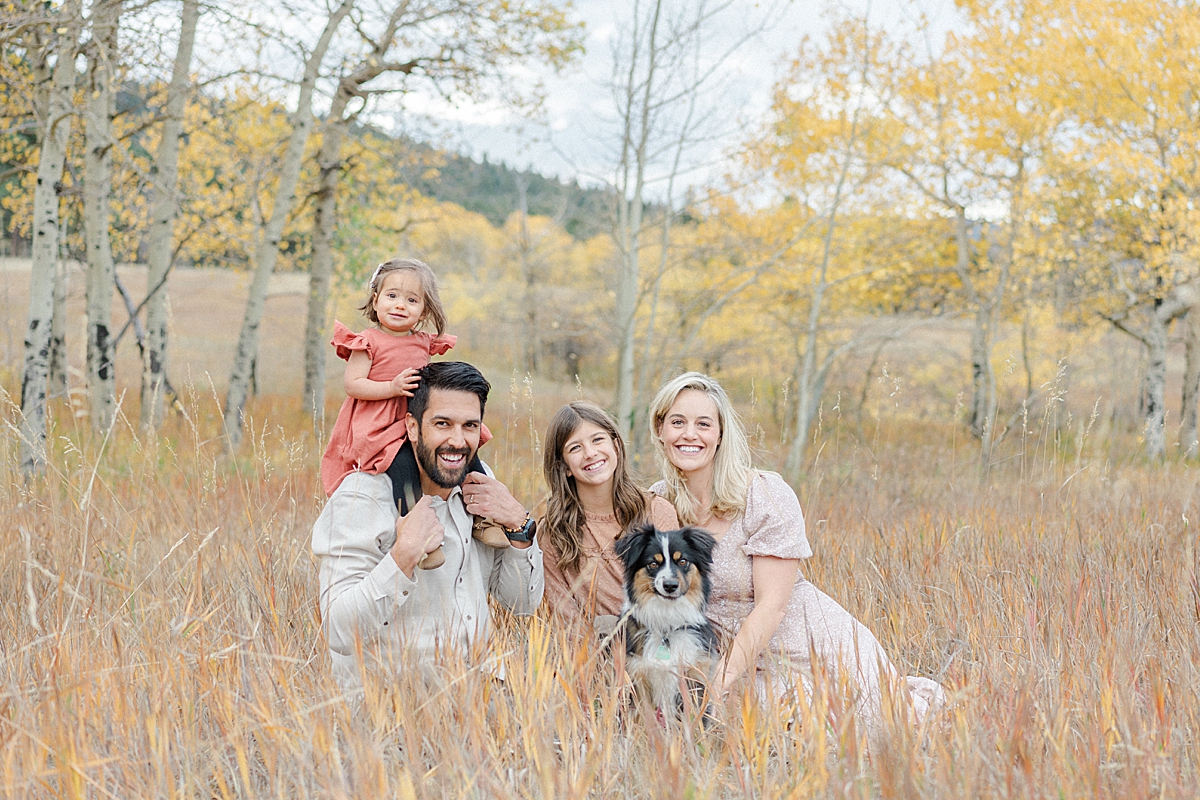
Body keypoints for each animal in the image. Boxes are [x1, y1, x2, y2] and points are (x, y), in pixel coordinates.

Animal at [614, 525, 715, 719]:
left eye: (682, 561)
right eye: (653, 564)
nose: (670, 585)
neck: (666, 625)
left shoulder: (695, 677)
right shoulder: (637, 677)